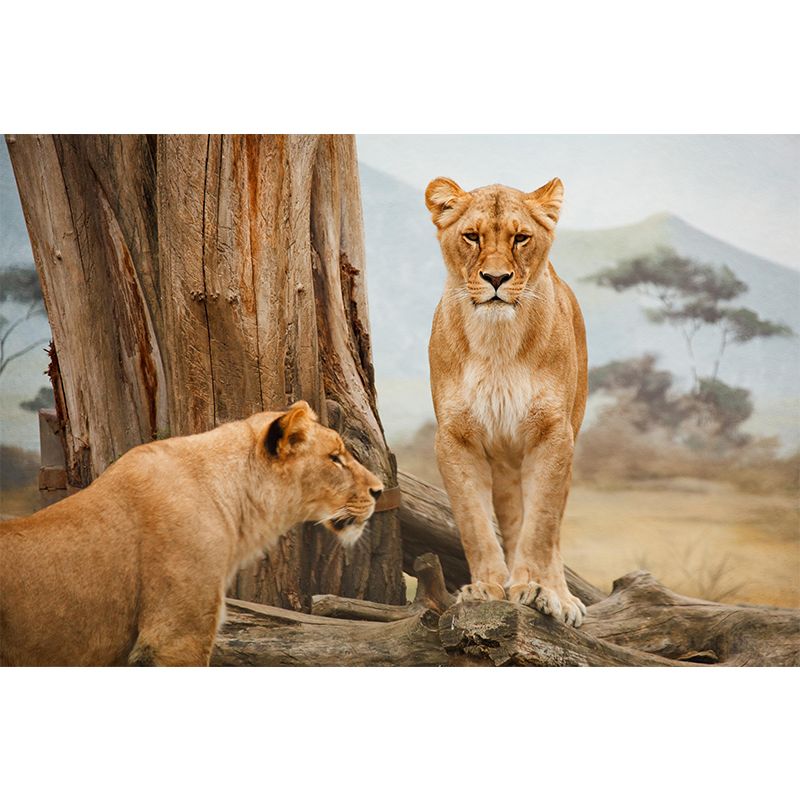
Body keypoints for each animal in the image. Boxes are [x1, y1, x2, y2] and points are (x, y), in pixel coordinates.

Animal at [425, 176, 588, 626]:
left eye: (520, 238)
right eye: (471, 236)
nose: (496, 278)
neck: (497, 341)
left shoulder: (553, 435)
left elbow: (541, 527)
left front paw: (534, 589)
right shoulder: (455, 438)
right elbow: (474, 523)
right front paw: (486, 587)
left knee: (552, 528)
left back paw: (560, 596)